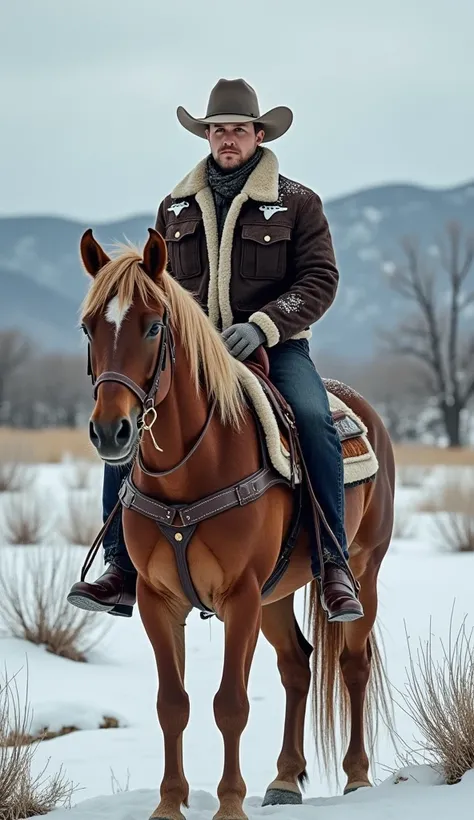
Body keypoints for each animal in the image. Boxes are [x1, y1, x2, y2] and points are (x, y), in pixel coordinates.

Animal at [78, 226, 396, 820]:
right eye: (89, 327)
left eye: (153, 325)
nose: (112, 431)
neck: (191, 470)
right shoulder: (160, 599)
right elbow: (172, 703)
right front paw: (169, 804)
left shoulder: (240, 597)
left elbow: (230, 703)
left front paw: (229, 805)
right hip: (277, 595)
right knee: (297, 666)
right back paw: (285, 780)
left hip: (363, 571)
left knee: (353, 664)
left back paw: (358, 777)